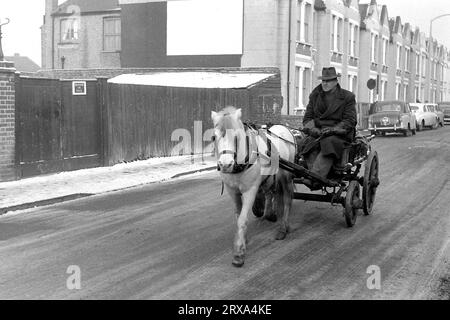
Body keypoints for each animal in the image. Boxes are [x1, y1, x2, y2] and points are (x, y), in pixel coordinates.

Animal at [212, 106, 298, 266]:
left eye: (236, 137)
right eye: (214, 138)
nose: (225, 165)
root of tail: (286, 129)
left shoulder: (250, 191)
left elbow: (242, 219)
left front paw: (239, 252)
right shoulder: (232, 191)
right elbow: (238, 216)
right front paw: (243, 239)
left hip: (286, 176)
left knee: (287, 199)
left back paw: (283, 228)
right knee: (271, 192)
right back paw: (270, 213)